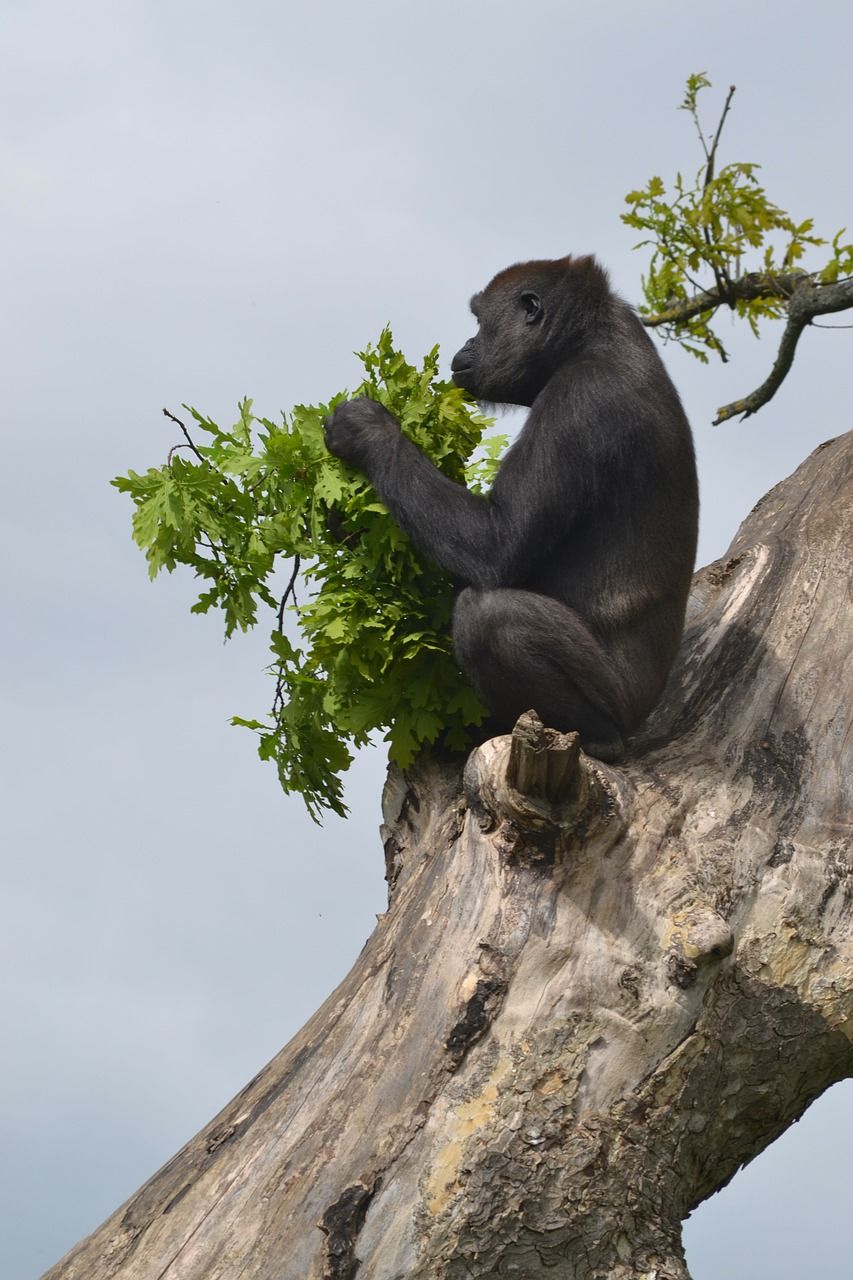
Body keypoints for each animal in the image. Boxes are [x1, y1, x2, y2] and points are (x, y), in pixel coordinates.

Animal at [322, 254, 696, 762]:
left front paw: (368, 431)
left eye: (480, 321)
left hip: (623, 703)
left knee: (490, 617)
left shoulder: (578, 400)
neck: (587, 340)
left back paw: (596, 734)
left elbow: (496, 545)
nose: (468, 343)